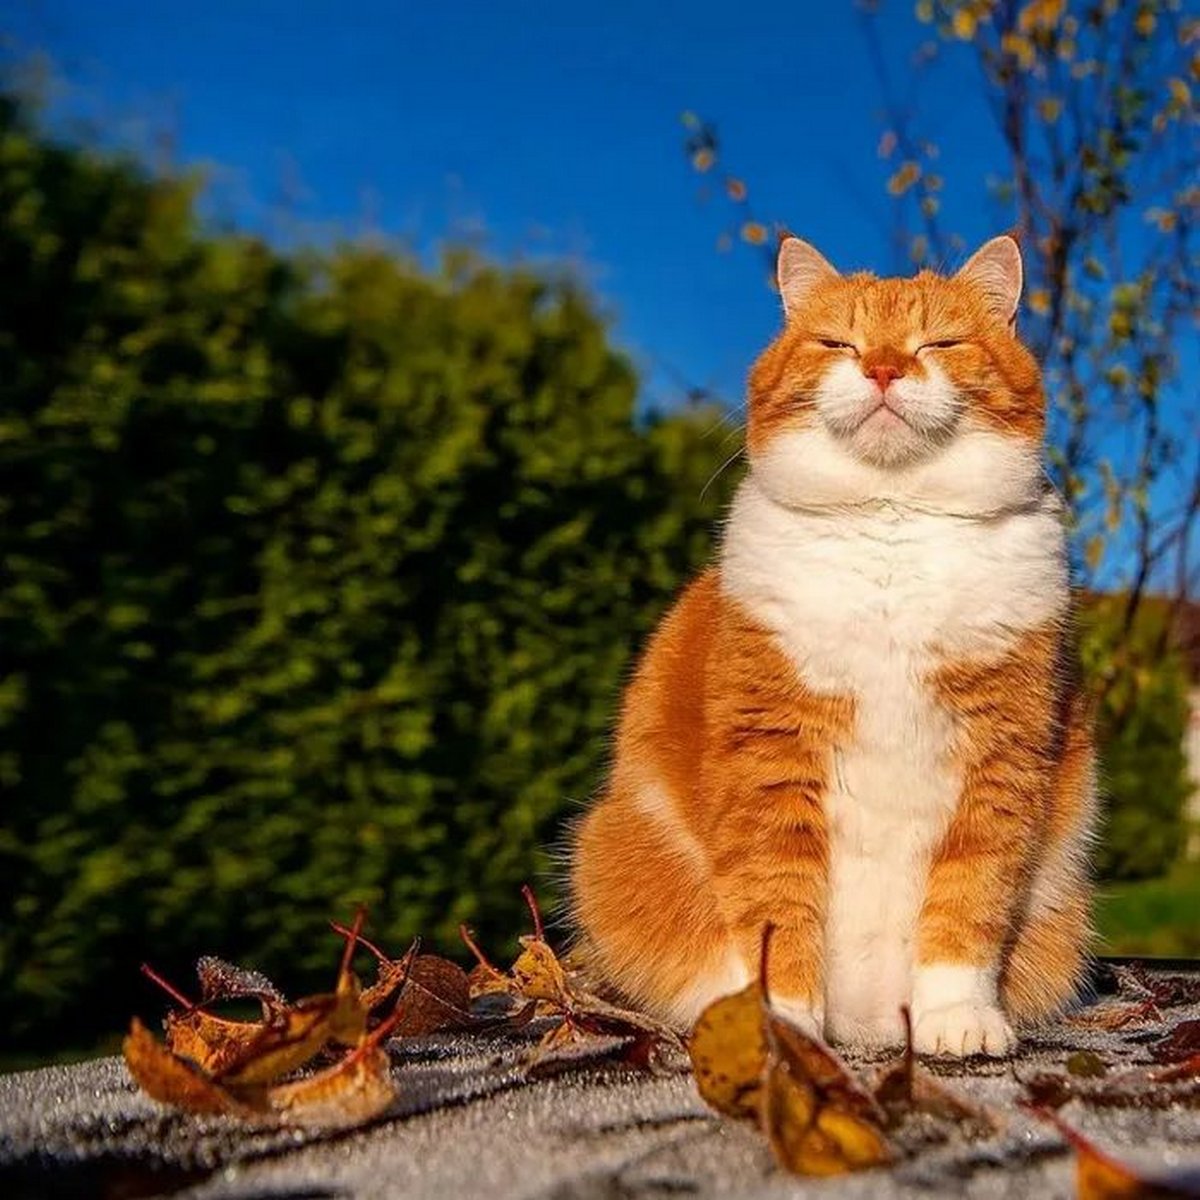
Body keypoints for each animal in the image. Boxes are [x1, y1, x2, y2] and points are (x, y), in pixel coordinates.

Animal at [568, 236, 1099, 1060]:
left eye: (938, 343)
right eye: (837, 343)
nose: (882, 367)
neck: (891, 523)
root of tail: (868, 1025)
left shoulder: (1001, 760)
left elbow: (970, 898)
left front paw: (956, 1015)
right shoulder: (771, 756)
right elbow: (776, 904)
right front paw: (782, 1022)